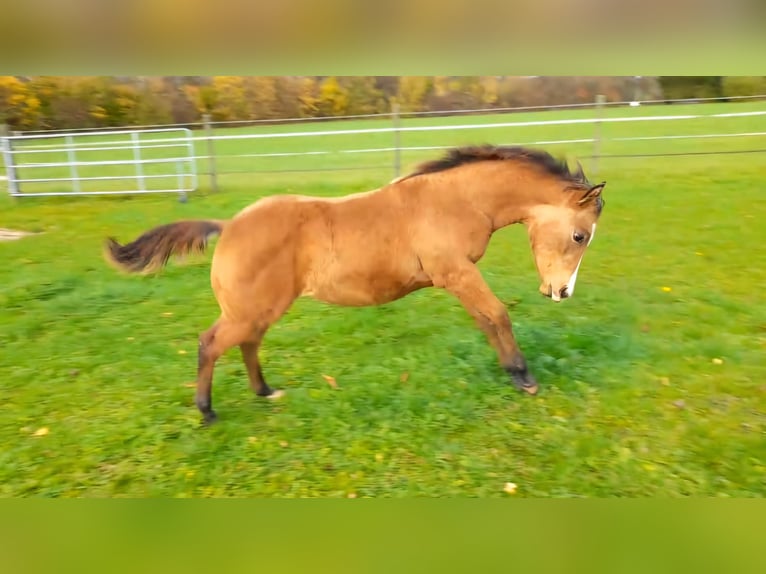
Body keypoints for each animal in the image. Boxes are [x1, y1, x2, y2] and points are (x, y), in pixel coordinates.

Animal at [105, 145, 606, 424]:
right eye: (580, 235)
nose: (561, 292)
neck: (455, 199)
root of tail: (227, 227)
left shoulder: (457, 277)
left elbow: (485, 320)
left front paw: (513, 374)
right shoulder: (456, 271)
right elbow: (497, 314)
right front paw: (525, 378)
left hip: (259, 308)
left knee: (246, 343)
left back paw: (266, 392)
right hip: (250, 309)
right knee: (210, 343)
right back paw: (207, 412)